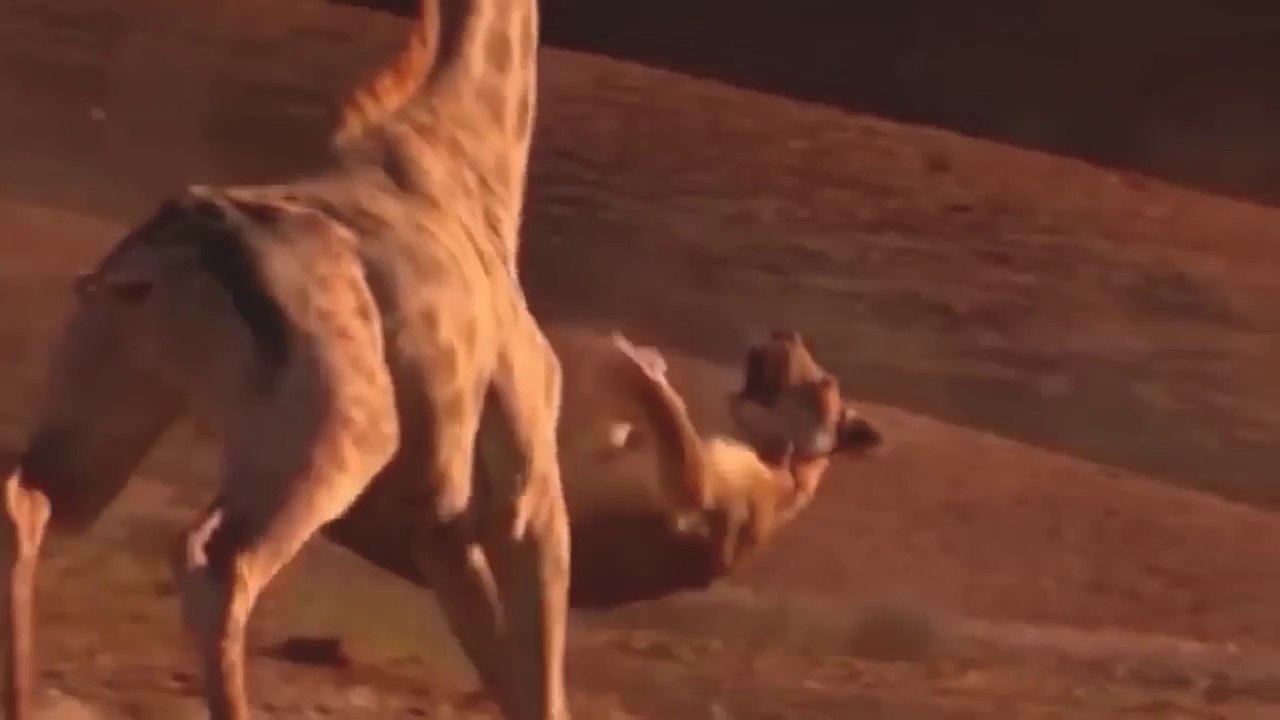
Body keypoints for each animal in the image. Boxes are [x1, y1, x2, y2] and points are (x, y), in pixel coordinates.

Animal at [1, 0, 567, 718]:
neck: (475, 161)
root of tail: (160, 271)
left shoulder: (438, 526)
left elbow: (506, 672)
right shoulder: (528, 495)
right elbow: (541, 682)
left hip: (112, 407)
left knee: (28, 501)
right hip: (334, 442)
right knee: (217, 563)